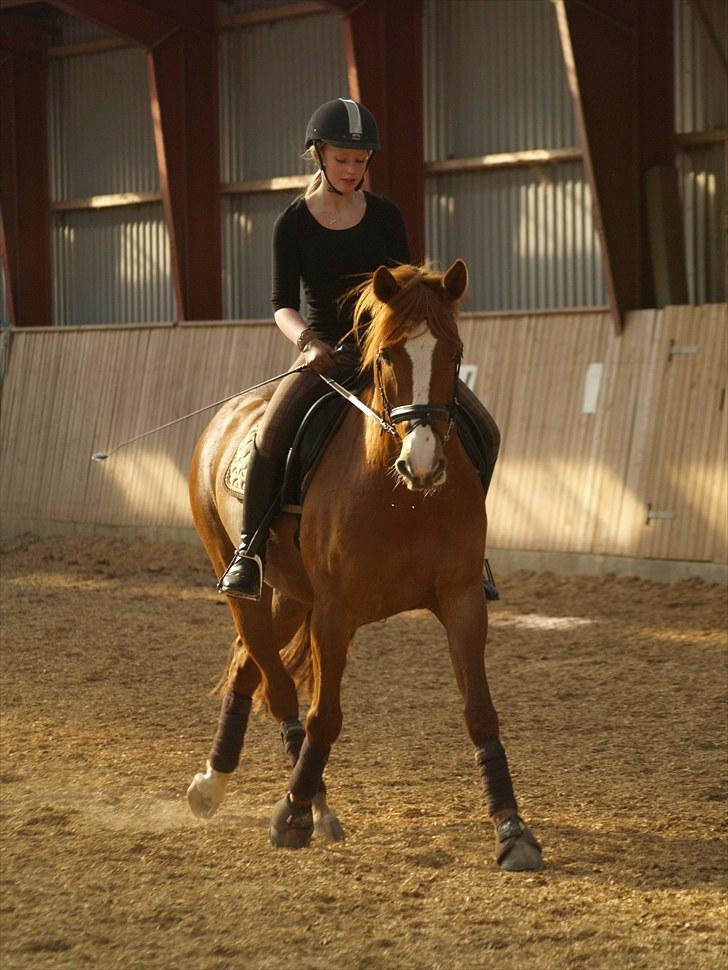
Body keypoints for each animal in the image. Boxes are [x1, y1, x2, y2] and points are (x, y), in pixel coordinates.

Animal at [185, 258, 544, 868]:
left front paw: (512, 831)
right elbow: (324, 715)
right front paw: (291, 815)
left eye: (454, 352)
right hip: (243, 581)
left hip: (292, 594)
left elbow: (480, 711)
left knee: (245, 666)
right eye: (386, 357)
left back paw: (227, 786)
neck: (403, 497)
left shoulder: (463, 600)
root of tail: (225, 416)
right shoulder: (335, 612)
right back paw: (297, 801)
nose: (423, 462)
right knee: (276, 685)